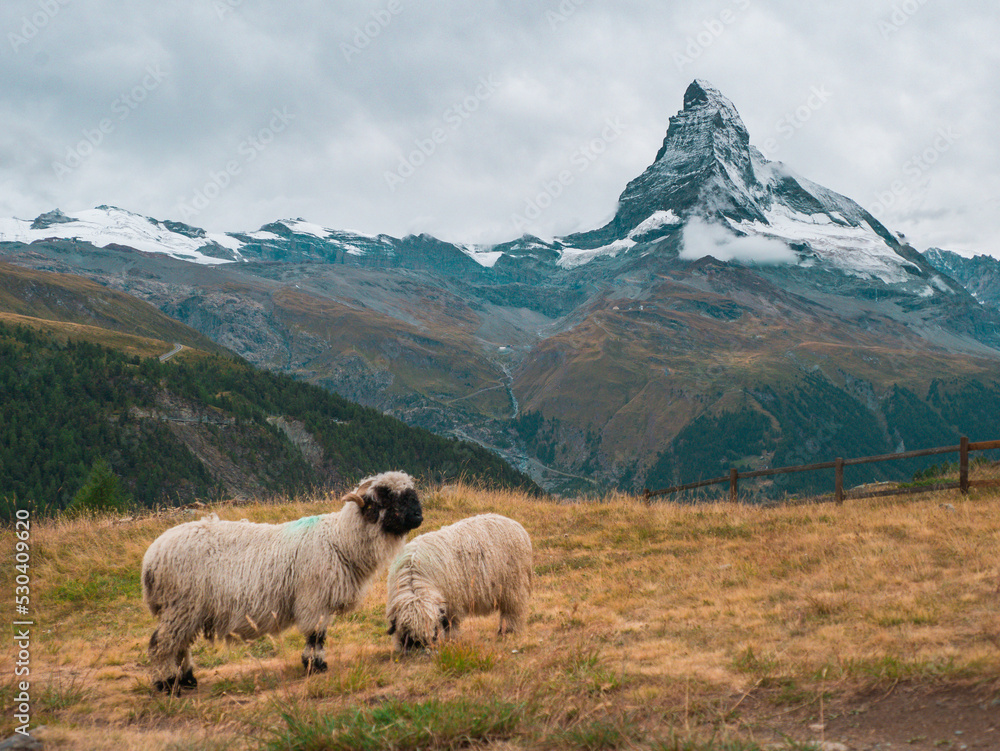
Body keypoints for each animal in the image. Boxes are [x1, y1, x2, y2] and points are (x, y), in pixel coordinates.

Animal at [141, 471, 422, 692]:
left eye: (411, 493)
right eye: (386, 496)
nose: (419, 517)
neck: (339, 541)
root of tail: (152, 556)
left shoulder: (323, 603)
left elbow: (320, 635)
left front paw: (315, 664)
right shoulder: (313, 600)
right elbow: (315, 635)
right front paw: (314, 666)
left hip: (187, 609)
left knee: (179, 644)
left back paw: (187, 679)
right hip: (181, 604)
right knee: (161, 643)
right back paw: (166, 683)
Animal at [386, 513, 532, 652]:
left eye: (432, 632)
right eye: (407, 633)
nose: (418, 649)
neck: (414, 580)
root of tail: (516, 525)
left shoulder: (452, 602)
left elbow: (451, 624)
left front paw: (451, 640)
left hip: (514, 587)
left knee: (512, 612)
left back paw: (507, 631)